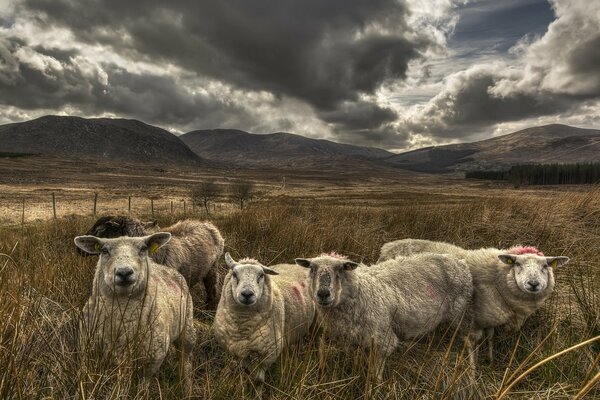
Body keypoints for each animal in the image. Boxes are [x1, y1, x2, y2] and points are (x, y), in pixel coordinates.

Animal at [72, 231, 195, 390]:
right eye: (104, 251)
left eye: (143, 249)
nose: (124, 272)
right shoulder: (88, 353)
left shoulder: (151, 361)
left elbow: (142, 387)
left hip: (187, 329)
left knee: (186, 362)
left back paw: (186, 387)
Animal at [212, 253, 314, 382]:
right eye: (234, 274)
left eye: (261, 276)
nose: (247, 294)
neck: (243, 326)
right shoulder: (239, 350)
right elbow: (248, 372)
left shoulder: (269, 352)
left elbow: (258, 380)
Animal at [294, 252, 474, 380]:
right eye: (312, 268)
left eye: (341, 268)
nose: (323, 293)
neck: (360, 290)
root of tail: (460, 262)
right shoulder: (351, 339)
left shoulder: (382, 340)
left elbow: (376, 373)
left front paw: (376, 387)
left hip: (459, 315)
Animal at [378, 239, 568, 364]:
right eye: (517, 264)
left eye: (546, 266)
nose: (533, 284)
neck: (497, 276)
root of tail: (387, 246)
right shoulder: (470, 318)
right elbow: (473, 343)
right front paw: (473, 367)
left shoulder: (492, 316)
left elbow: (490, 337)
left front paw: (490, 359)